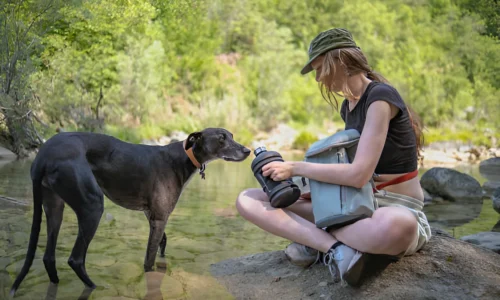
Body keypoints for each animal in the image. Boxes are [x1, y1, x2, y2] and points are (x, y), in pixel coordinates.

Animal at [7, 127, 250, 296]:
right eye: (221, 137)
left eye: (231, 134)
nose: (247, 150)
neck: (183, 157)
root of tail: (43, 154)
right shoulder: (160, 218)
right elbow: (149, 261)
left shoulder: (151, 215)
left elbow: (163, 242)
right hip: (92, 206)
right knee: (75, 259)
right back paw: (95, 287)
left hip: (54, 206)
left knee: (49, 257)